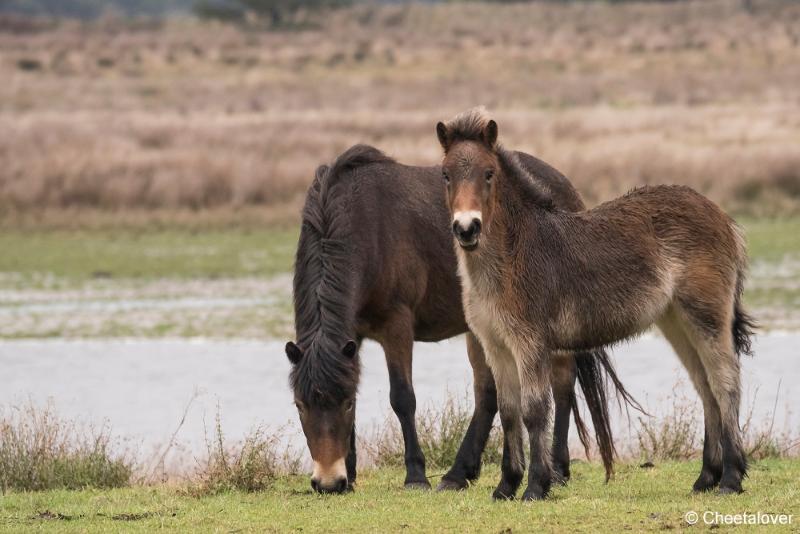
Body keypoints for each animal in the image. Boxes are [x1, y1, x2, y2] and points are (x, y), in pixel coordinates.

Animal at [284, 143, 636, 494]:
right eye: (300, 405)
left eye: (342, 404)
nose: (328, 482)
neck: (366, 227)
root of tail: (565, 187)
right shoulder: (352, 335)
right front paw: (352, 474)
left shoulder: (397, 326)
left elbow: (402, 397)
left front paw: (415, 475)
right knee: (492, 394)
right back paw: (461, 472)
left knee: (561, 384)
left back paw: (556, 470)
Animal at [438, 109, 756, 502]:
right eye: (446, 174)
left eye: (488, 173)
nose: (467, 228)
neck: (513, 254)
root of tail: (723, 218)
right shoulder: (497, 346)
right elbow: (509, 412)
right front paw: (505, 487)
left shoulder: (530, 344)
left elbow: (533, 410)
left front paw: (536, 486)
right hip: (676, 322)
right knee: (705, 386)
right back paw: (706, 478)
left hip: (707, 317)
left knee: (725, 382)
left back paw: (731, 478)